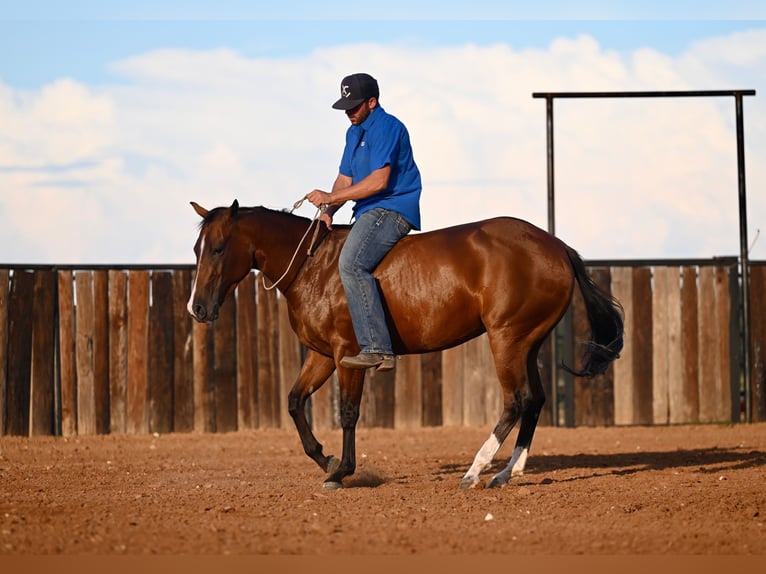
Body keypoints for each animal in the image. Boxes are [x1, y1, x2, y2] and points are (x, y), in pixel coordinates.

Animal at [188, 199, 624, 490]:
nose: (197, 308)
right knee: (534, 400)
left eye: (219, 248)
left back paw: (475, 470)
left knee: (517, 401)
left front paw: (342, 471)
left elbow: (349, 413)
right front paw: (326, 458)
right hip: (527, 343)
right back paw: (506, 472)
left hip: (507, 340)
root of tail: (556, 247)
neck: (314, 265)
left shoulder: (348, 356)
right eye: (197, 249)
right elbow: (295, 402)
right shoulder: (322, 355)